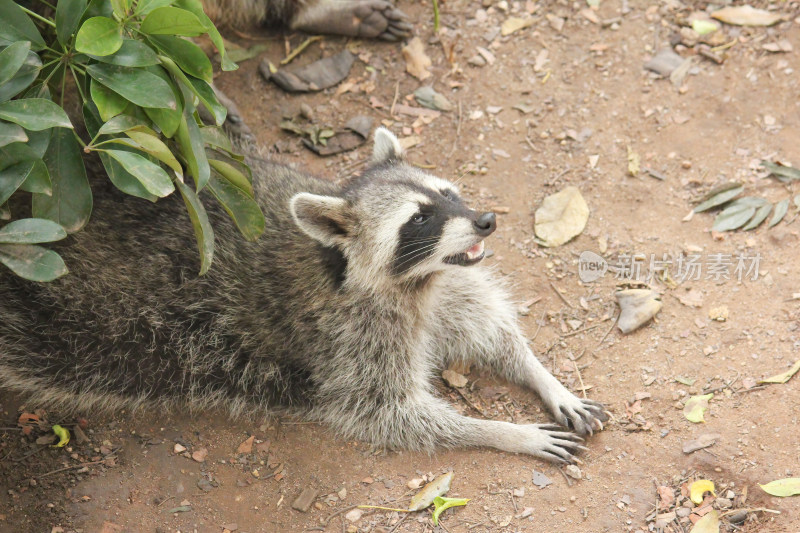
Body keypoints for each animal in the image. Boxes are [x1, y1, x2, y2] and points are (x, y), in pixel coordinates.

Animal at [0, 128, 608, 462]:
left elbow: (488, 326)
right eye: (420, 219)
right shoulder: (349, 340)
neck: (414, 281)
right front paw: (504, 432)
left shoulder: (441, 290)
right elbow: (390, 413)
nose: (485, 221)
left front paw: (541, 374)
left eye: (448, 194)